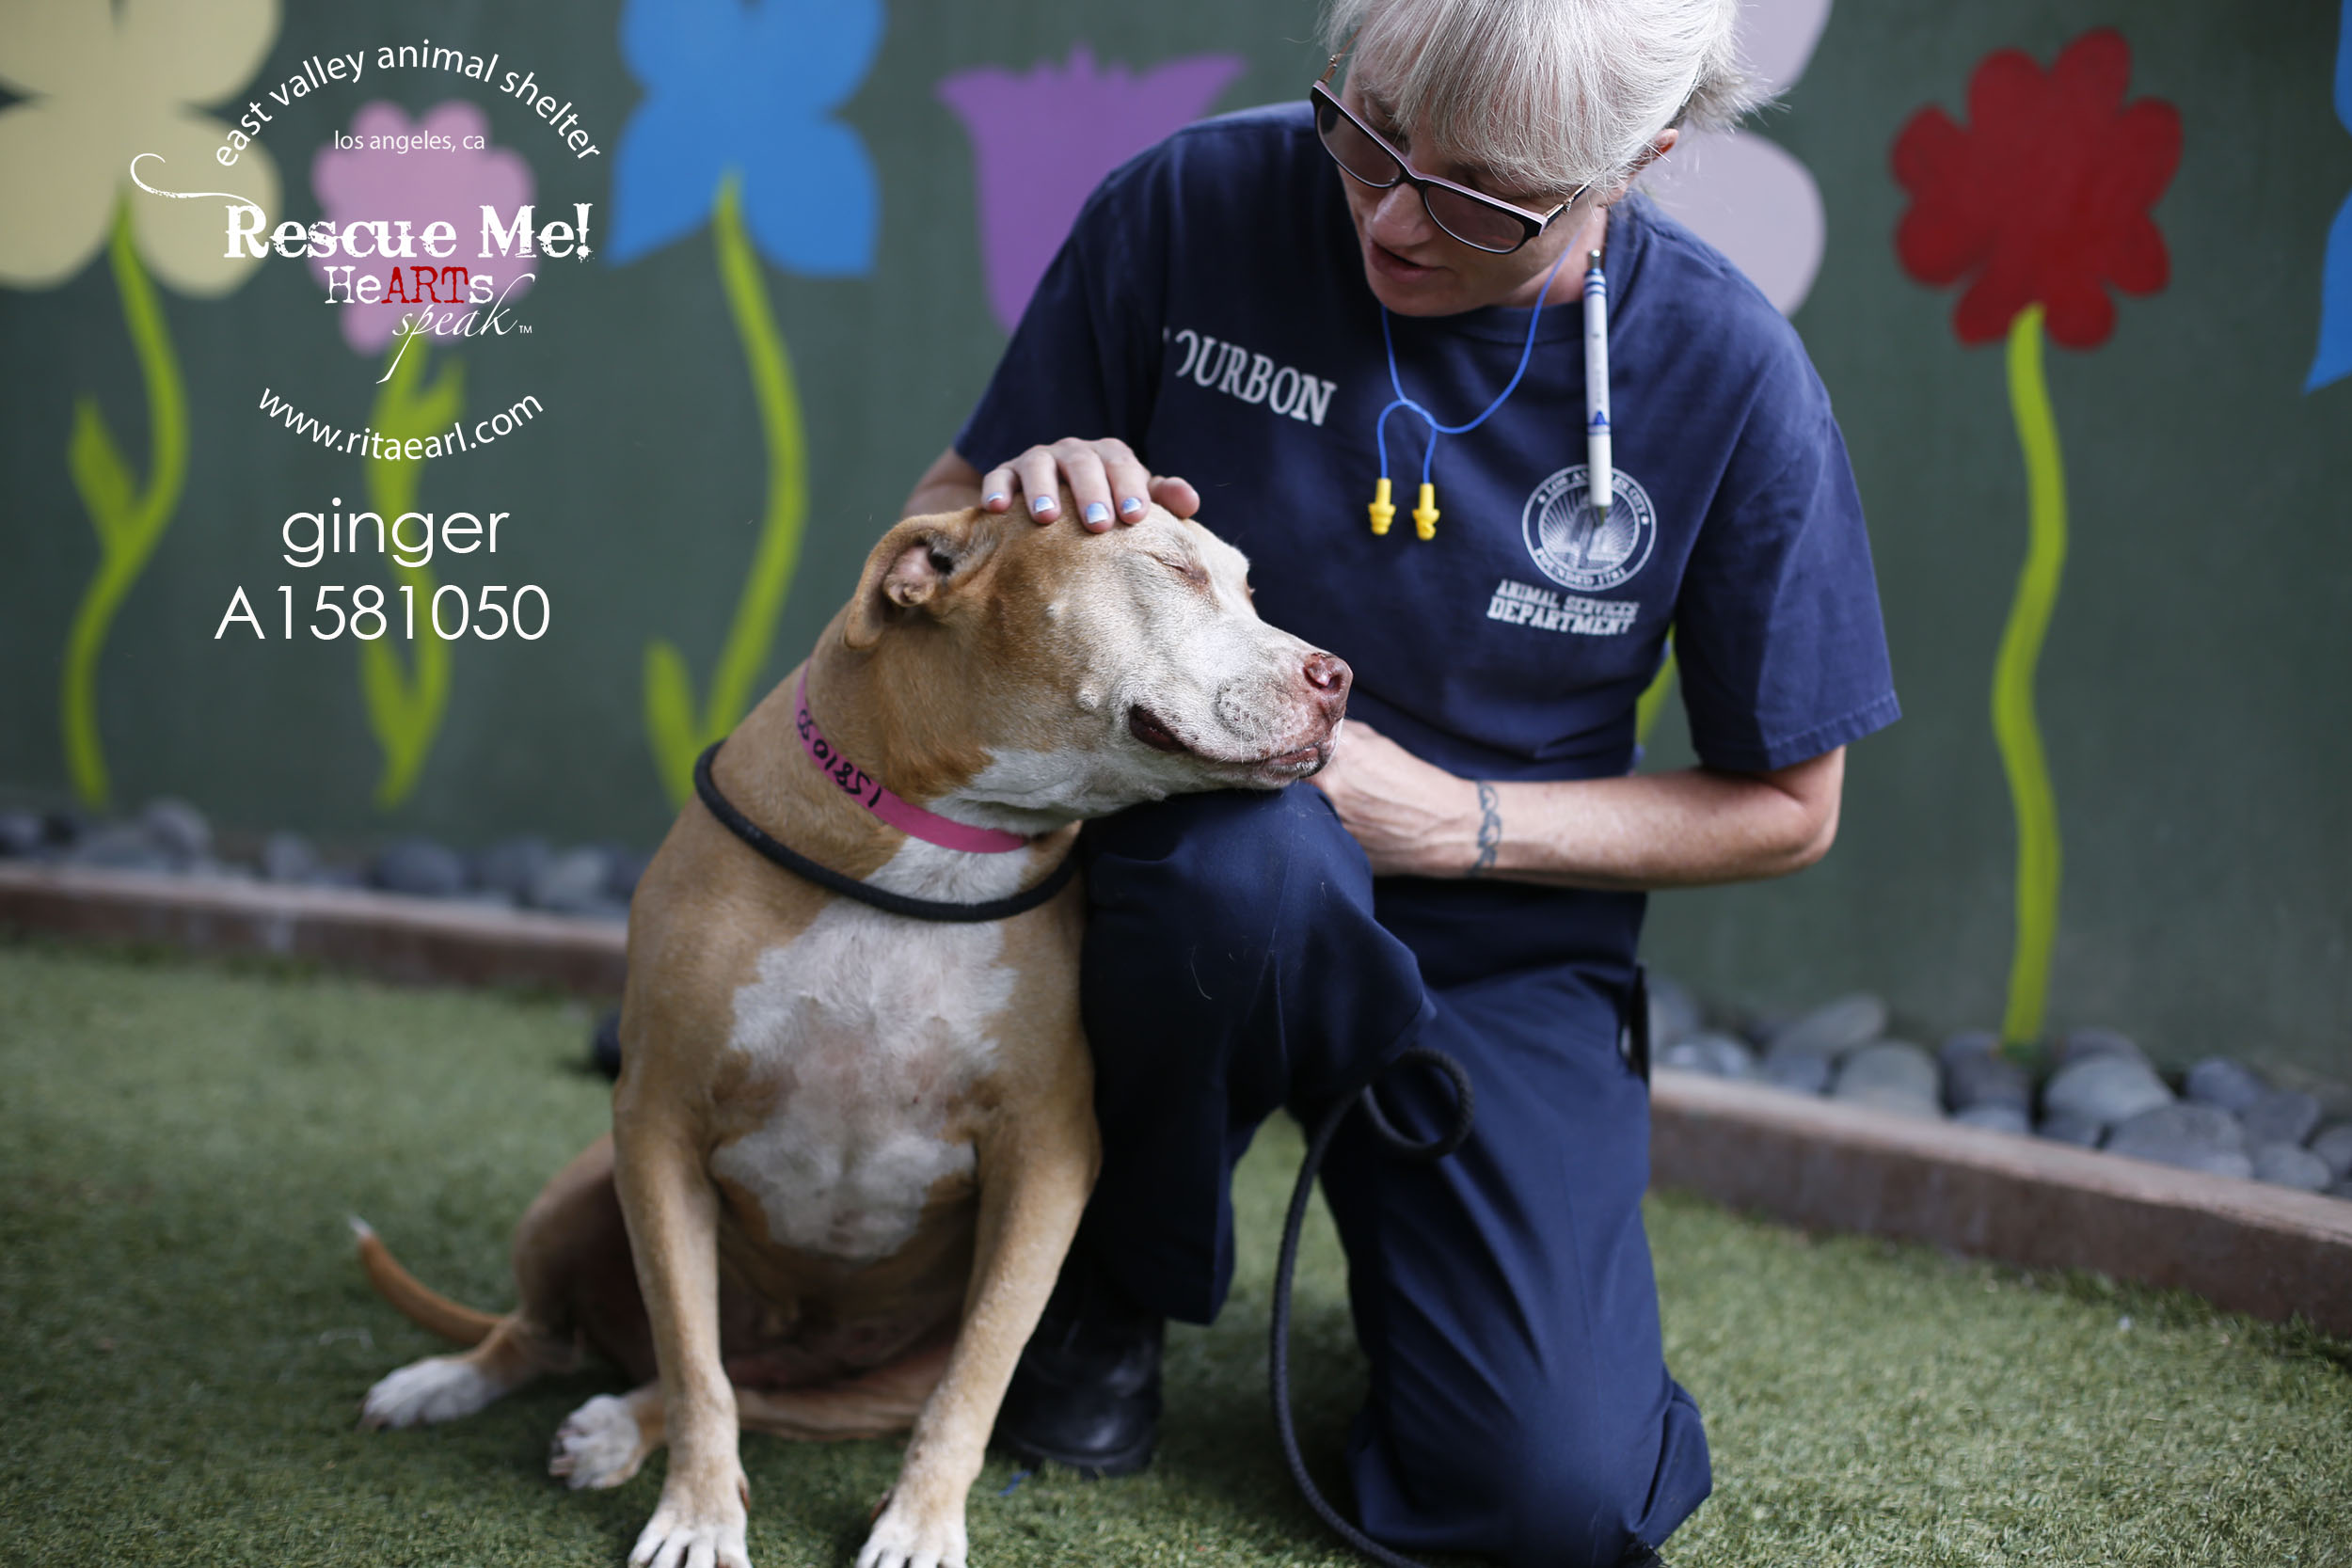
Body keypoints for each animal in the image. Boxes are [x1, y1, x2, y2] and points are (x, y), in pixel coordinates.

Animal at [343, 505, 1345, 1568]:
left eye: (1248, 586)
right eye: (1171, 566)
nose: (1339, 678)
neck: (939, 849)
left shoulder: (1045, 1162)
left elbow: (971, 1378)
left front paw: (919, 1525)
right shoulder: (657, 1123)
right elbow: (694, 1364)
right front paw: (698, 1516)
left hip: (866, 1381)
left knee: (752, 1388)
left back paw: (615, 1421)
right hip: (579, 1193)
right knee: (581, 1339)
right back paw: (446, 1383)